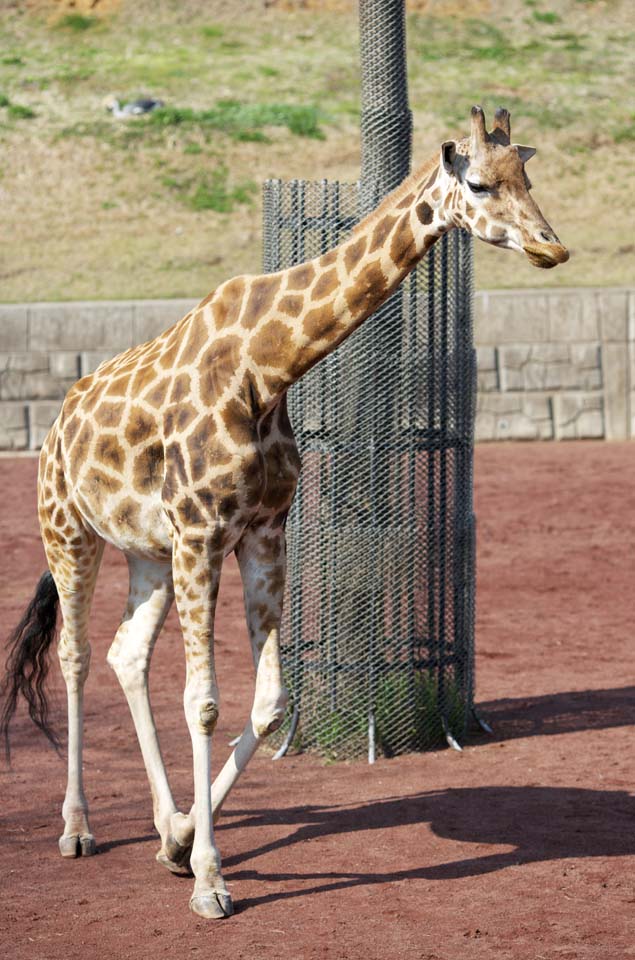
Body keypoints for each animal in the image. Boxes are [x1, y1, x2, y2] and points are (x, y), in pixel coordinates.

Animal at [0, 103, 568, 916]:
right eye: (482, 185)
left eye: (529, 178)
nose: (552, 246)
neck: (267, 366)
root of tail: (55, 425)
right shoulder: (204, 532)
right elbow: (203, 701)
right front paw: (211, 880)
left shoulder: (261, 532)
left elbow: (269, 703)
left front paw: (183, 843)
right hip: (69, 532)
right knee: (75, 656)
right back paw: (76, 828)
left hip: (148, 553)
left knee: (123, 654)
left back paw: (163, 823)